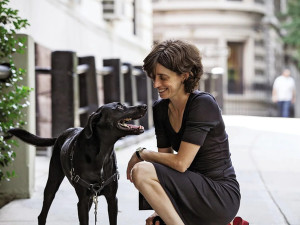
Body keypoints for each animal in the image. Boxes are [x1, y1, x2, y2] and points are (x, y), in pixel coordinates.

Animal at [7, 103, 146, 224]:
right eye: (119, 107)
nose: (144, 106)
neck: (102, 154)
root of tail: (61, 135)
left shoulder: (112, 199)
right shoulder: (83, 201)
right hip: (53, 182)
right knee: (42, 214)